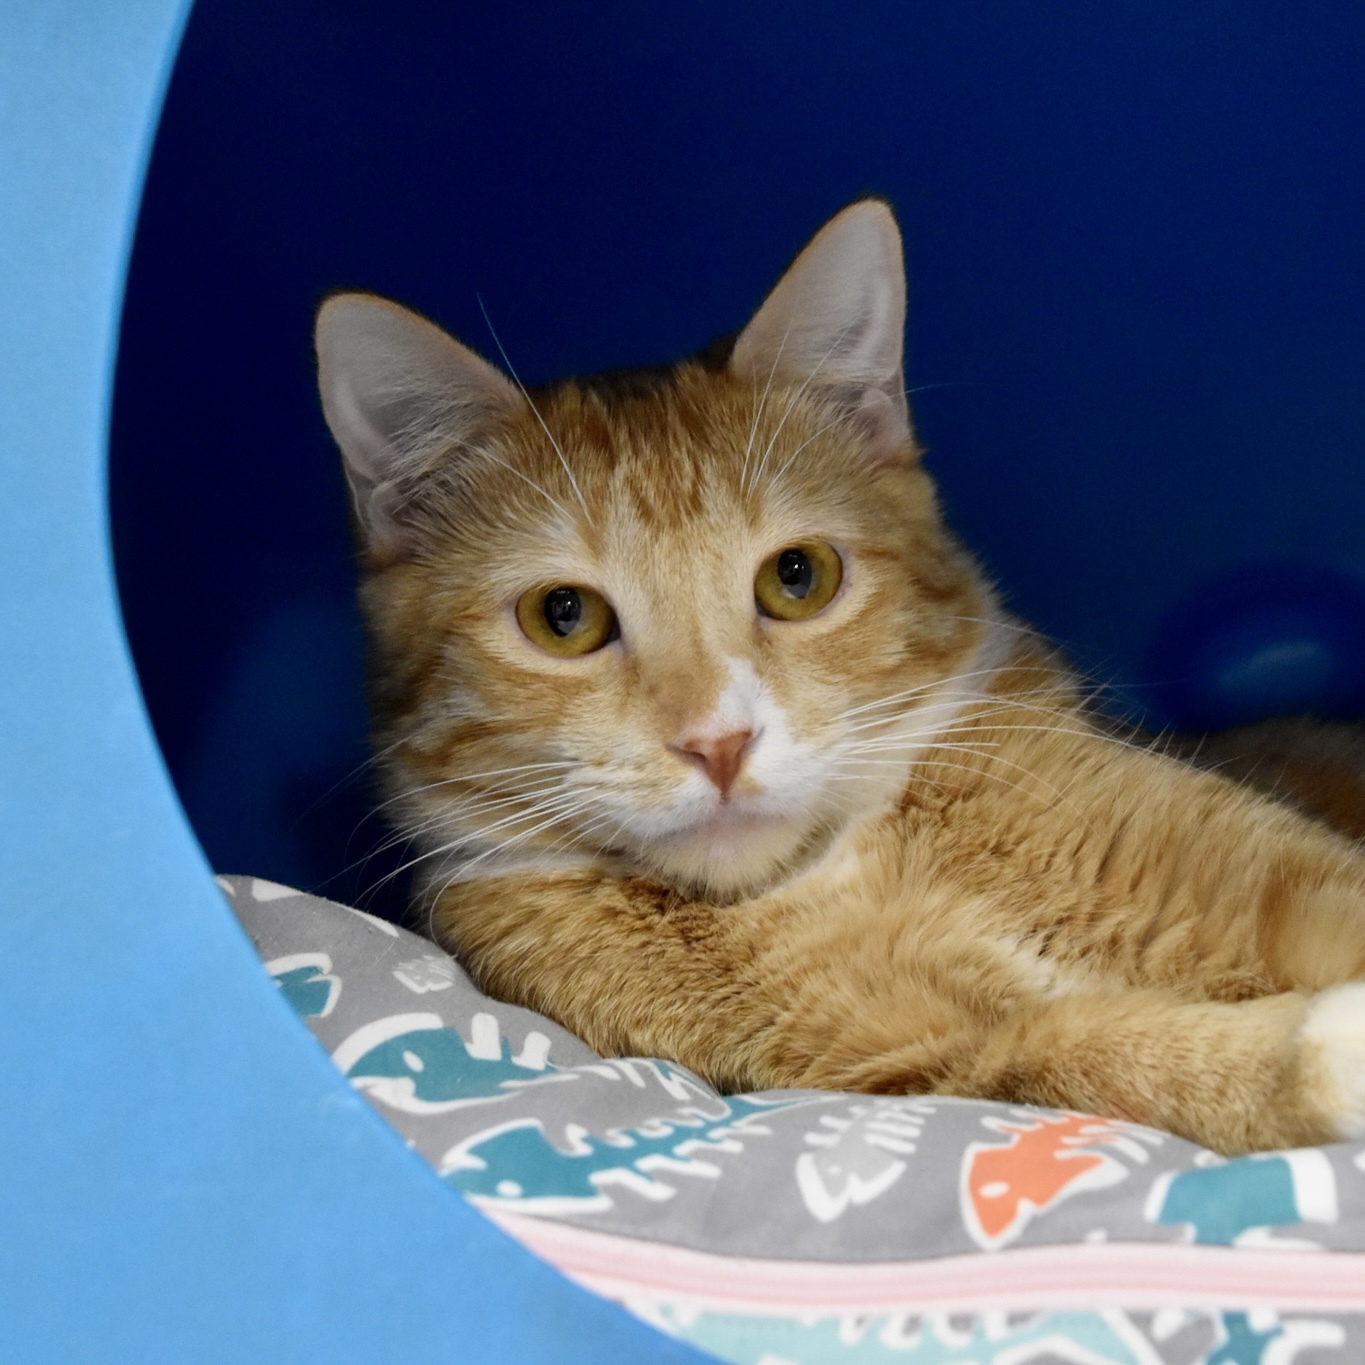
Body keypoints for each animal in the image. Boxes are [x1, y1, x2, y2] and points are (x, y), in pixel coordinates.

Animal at [313, 199, 1365, 1152]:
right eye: (562, 618)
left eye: (797, 577)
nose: (718, 742)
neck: (846, 865)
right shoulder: (916, 1070)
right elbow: (1081, 1051)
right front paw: (1320, 1056)